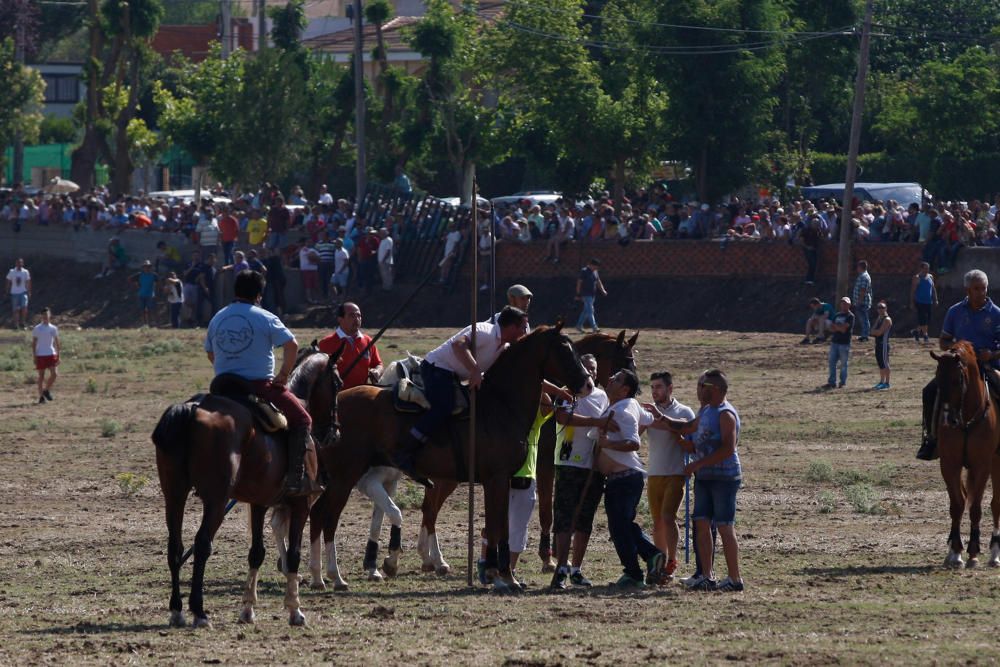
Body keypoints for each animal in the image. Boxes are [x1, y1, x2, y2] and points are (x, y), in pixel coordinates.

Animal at [151, 348, 344, 628]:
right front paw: (295, 610)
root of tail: (193, 408)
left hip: (174, 494)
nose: (334, 433)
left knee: (175, 546)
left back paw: (177, 610)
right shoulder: (302, 503)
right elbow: (294, 555)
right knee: (202, 544)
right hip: (216, 500)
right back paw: (199, 611)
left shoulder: (259, 502)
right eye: (337, 383)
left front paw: (248, 609)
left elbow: (256, 553)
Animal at [316, 322, 588, 588]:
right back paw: (335, 575)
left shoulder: (498, 481)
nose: (587, 383)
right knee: (328, 517)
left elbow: (498, 527)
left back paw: (318, 576)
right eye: (564, 350)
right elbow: (498, 527)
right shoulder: (496, 479)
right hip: (345, 476)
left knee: (319, 512)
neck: (500, 407)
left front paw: (499, 574)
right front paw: (501, 575)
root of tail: (335, 406)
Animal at [924, 344, 1000, 568]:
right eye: (937, 378)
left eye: (957, 380)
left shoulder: (982, 465)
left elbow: (975, 508)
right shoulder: (950, 464)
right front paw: (956, 552)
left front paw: (973, 553)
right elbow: (957, 505)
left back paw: (995, 554)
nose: (949, 419)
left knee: (996, 504)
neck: (966, 418)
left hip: (996, 461)